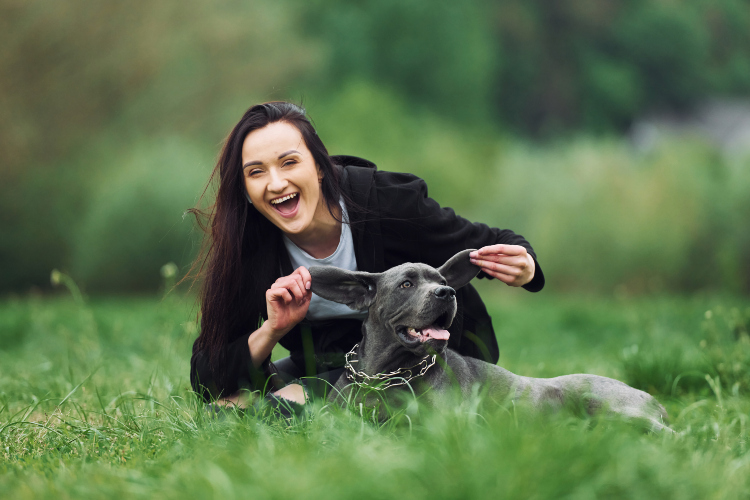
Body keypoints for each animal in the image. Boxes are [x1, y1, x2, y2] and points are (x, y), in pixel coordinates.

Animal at [308, 250, 672, 434]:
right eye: (406, 284)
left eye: (440, 280)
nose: (447, 292)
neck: (384, 376)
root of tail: (654, 400)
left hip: (607, 406)